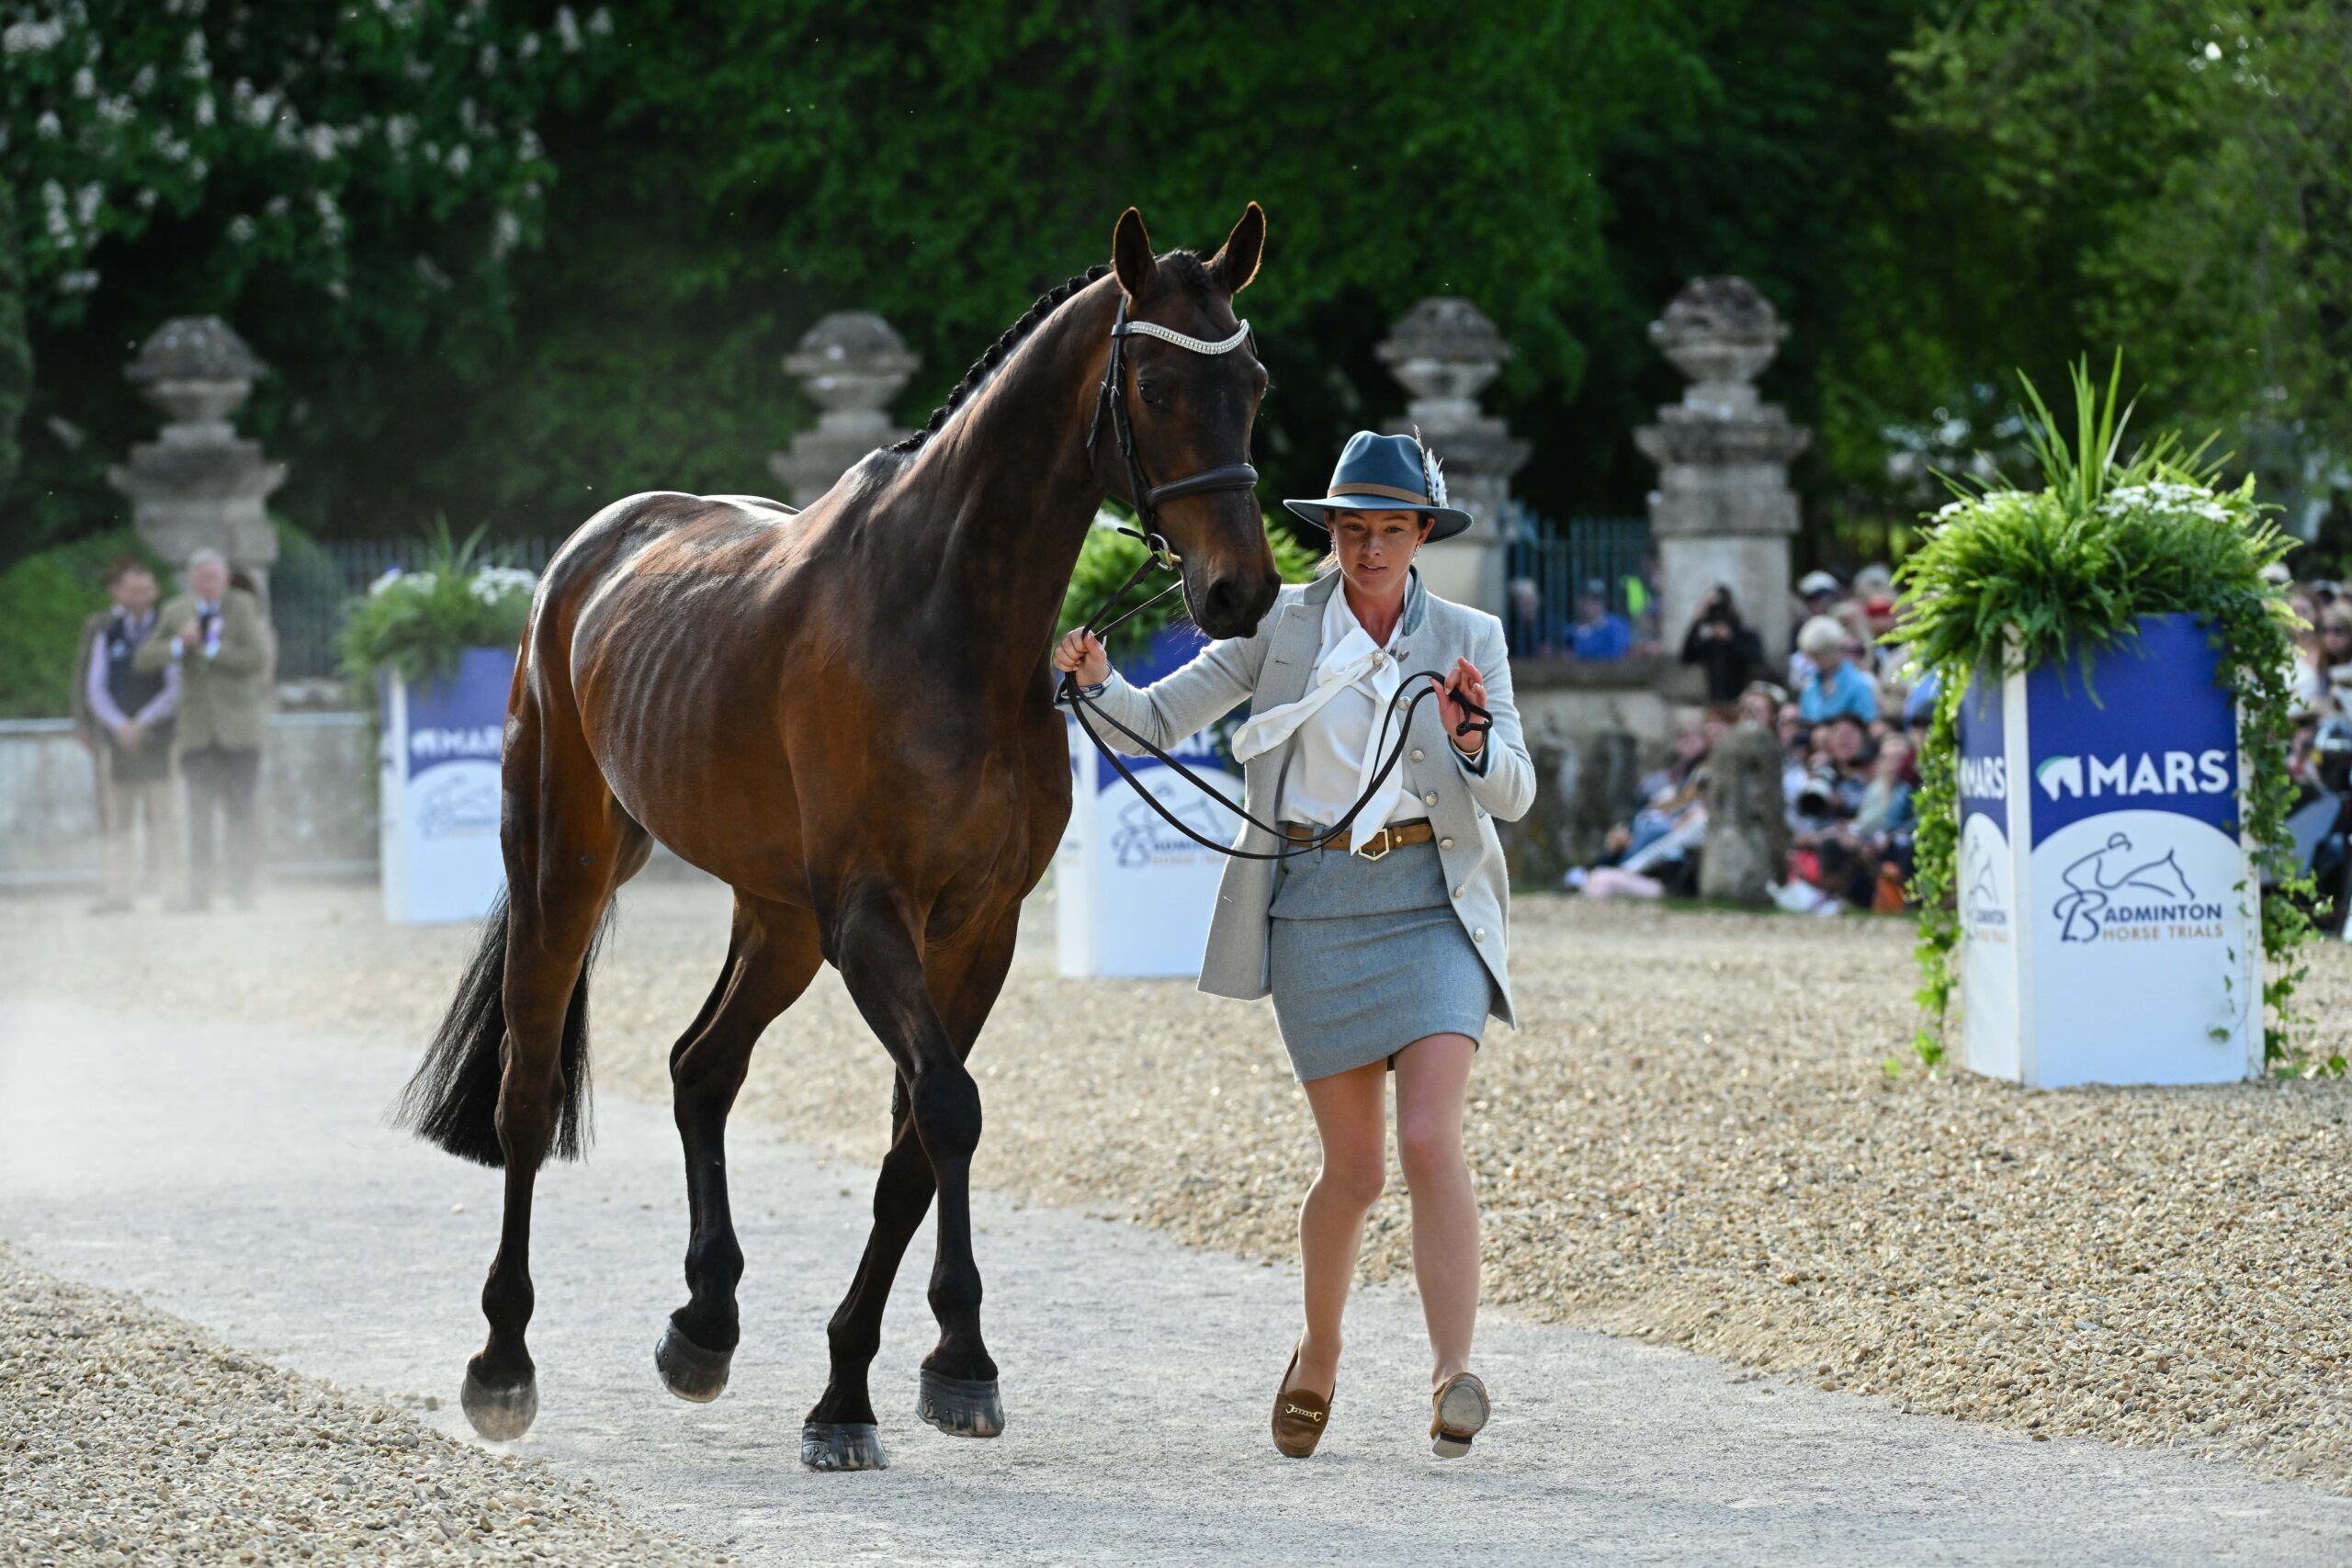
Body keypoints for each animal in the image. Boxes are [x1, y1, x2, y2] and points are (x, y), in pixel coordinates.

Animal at [396, 204, 1277, 1471]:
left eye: (1252, 383)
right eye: (1156, 384)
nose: (1240, 593)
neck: (948, 620)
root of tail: (590, 552)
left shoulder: (976, 930)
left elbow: (914, 1142)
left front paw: (893, 1375)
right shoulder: (871, 915)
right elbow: (945, 1109)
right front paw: (929, 1366)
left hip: (778, 922)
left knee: (701, 1067)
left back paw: (703, 1324)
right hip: (569, 864)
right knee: (525, 1091)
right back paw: (502, 1363)